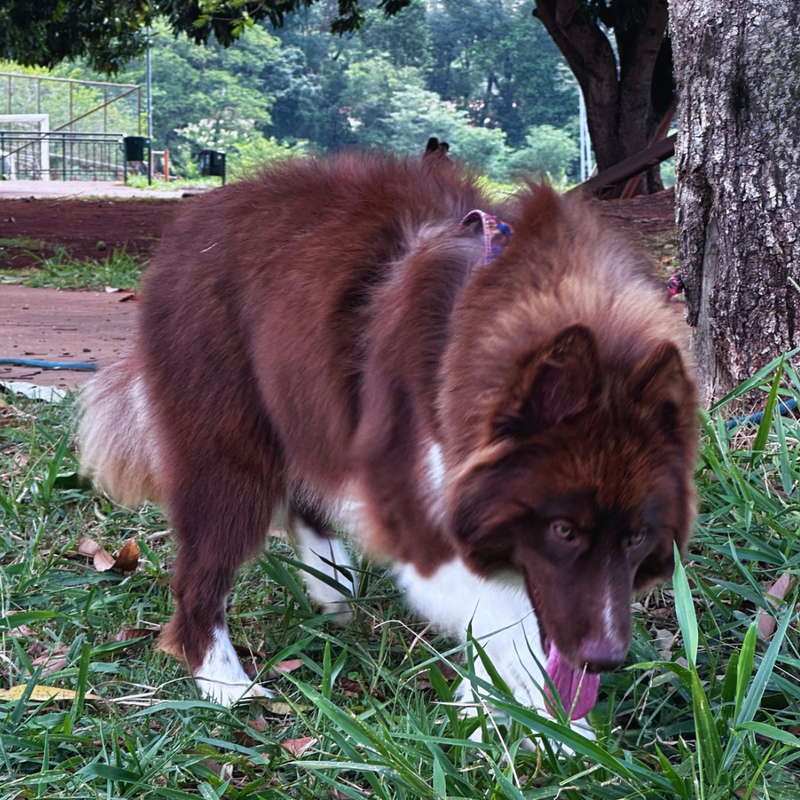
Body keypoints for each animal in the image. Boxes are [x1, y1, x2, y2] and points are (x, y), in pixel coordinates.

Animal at [78, 152, 696, 732]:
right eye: (563, 530)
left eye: (637, 537)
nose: (606, 660)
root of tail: (193, 221)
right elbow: (504, 609)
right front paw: (535, 721)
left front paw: (517, 713)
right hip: (226, 438)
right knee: (206, 562)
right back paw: (225, 683)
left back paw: (333, 585)